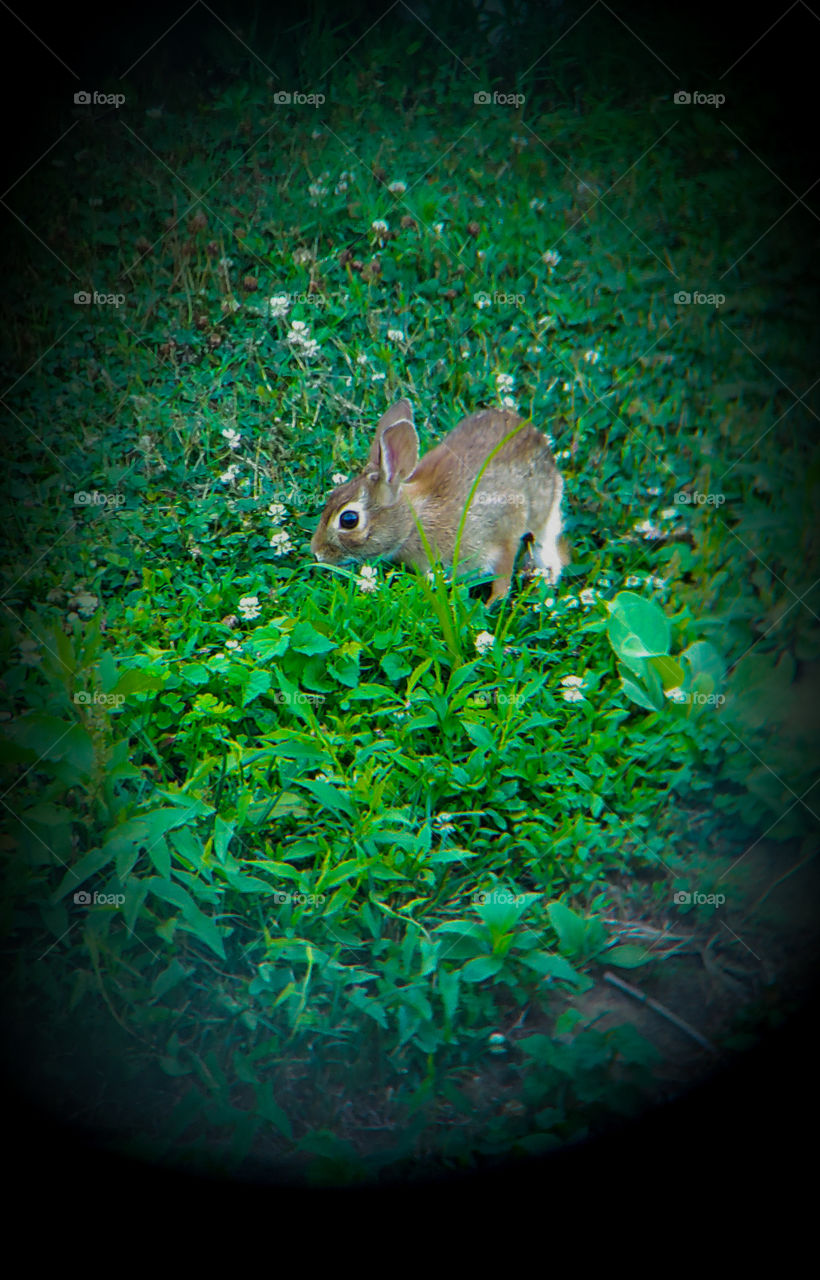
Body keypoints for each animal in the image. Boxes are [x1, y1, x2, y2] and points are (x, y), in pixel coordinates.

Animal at [310, 398, 566, 603]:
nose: (317, 553)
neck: (414, 523)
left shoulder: (503, 535)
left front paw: (490, 605)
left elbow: (502, 580)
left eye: (349, 519)